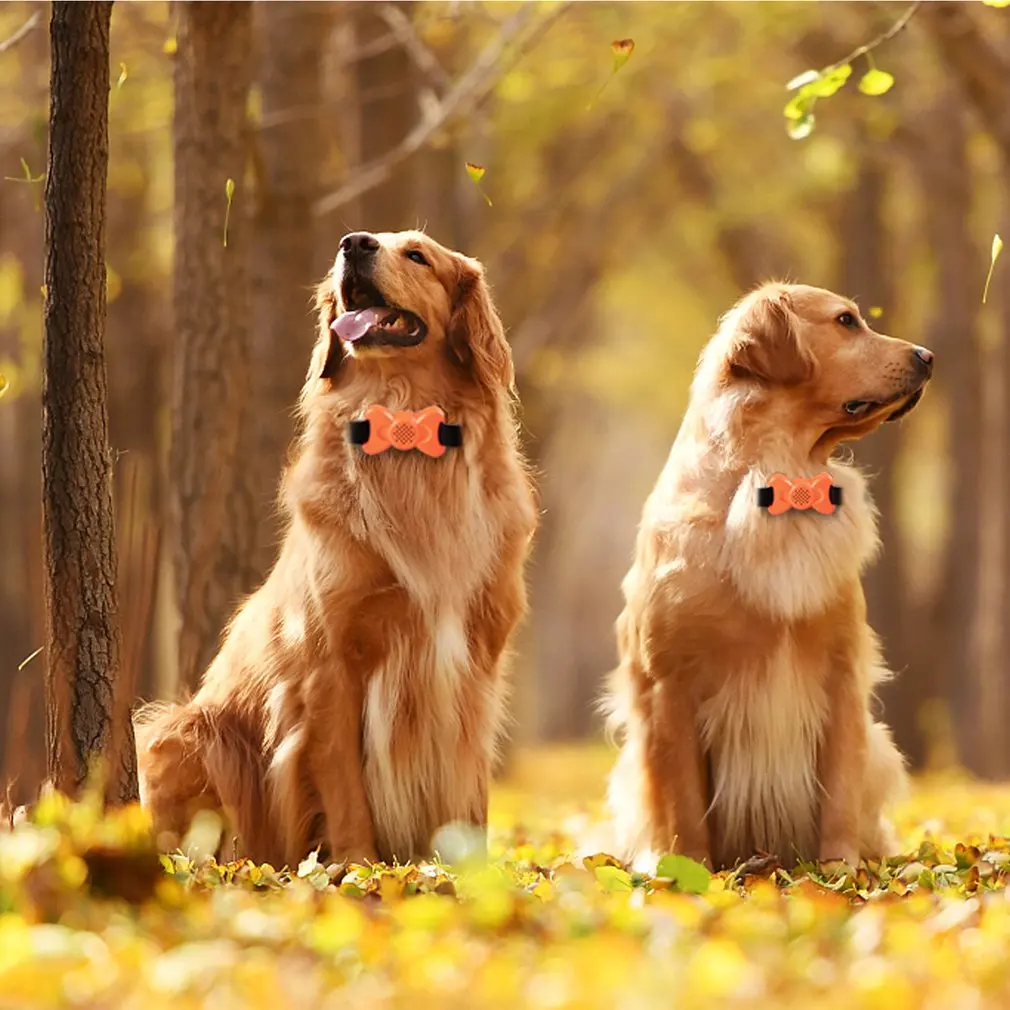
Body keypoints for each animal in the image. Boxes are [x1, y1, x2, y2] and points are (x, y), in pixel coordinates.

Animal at [140, 231, 545, 868]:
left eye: (418, 255)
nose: (353, 244)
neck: (404, 428)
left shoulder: (477, 661)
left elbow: (470, 785)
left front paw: (470, 869)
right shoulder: (329, 665)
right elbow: (344, 784)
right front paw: (355, 867)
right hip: (186, 731)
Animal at [601, 282, 933, 868]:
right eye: (846, 321)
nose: (929, 357)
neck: (778, 472)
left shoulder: (842, 673)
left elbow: (840, 795)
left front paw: (841, 871)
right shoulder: (669, 686)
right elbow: (683, 804)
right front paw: (689, 876)